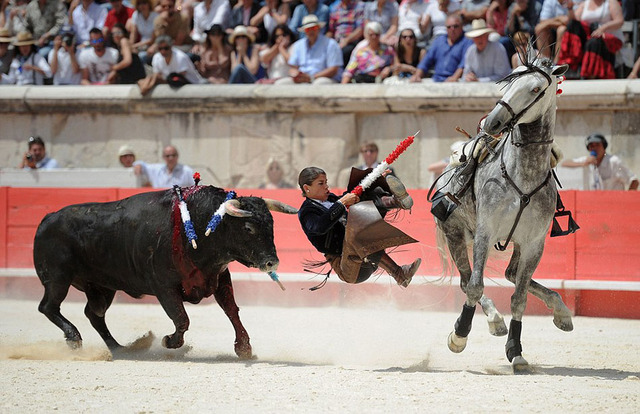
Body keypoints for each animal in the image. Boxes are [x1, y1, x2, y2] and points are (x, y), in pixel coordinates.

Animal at [33, 185, 298, 360]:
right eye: (249, 228)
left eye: (272, 225)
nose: (272, 262)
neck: (199, 225)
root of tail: (48, 217)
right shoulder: (164, 287)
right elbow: (181, 318)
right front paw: (170, 341)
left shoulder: (219, 277)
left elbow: (232, 311)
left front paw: (243, 348)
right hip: (57, 278)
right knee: (48, 307)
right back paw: (74, 338)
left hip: (102, 287)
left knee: (94, 314)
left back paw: (121, 349)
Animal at [436, 56, 576, 370]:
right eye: (510, 80)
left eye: (535, 88)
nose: (493, 122)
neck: (522, 173)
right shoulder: (485, 233)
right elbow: (475, 286)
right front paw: (459, 336)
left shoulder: (535, 243)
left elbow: (519, 298)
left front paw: (516, 350)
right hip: (455, 234)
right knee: (467, 280)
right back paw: (494, 320)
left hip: (516, 244)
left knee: (512, 274)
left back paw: (561, 312)